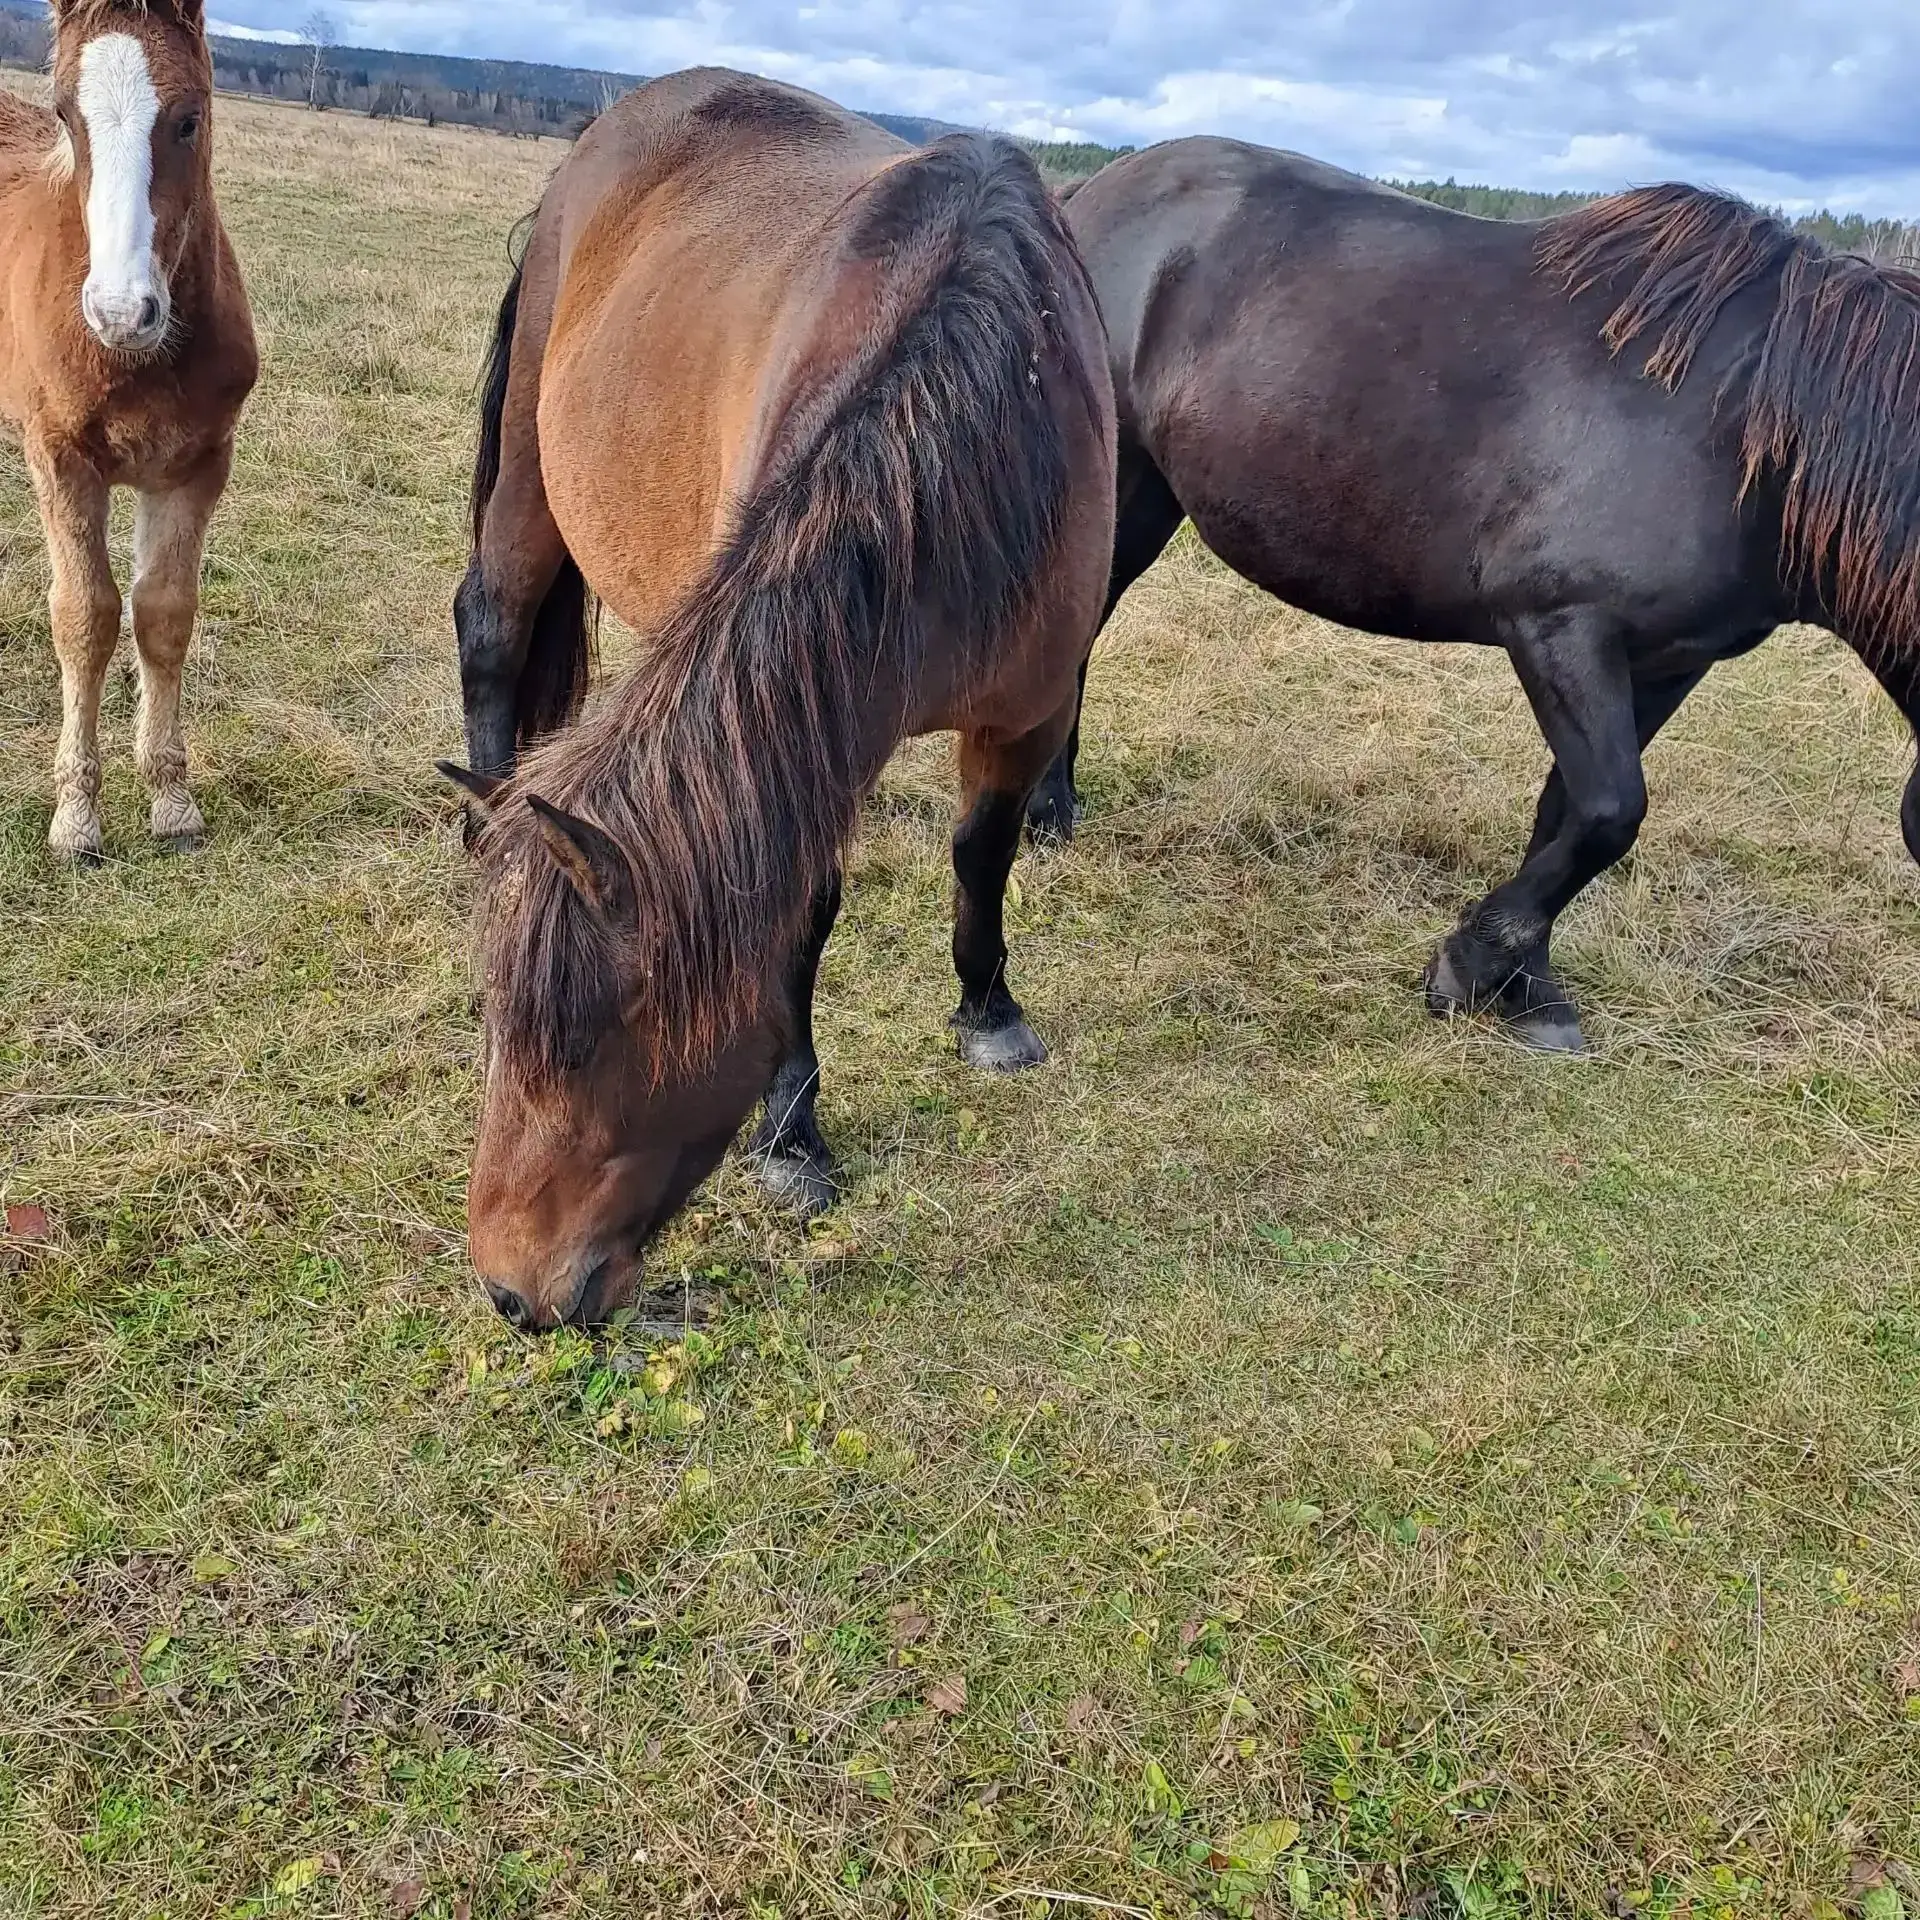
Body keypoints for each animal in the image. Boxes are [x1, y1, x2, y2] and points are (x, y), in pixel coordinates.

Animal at [0, 0, 256, 863]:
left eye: (190, 118)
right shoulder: (60, 458)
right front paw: (77, 816)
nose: (120, 312)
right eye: (64, 115)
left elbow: (163, 613)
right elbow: (85, 616)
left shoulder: (197, 464)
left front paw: (172, 800)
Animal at [442, 69, 1115, 1333]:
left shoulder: (1027, 713)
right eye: (501, 1031)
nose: (511, 1290)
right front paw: (795, 1131)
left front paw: (988, 1010)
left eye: (599, 1041)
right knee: (491, 633)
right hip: (530, 482)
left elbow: (983, 851)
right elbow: (804, 915)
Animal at [1028, 138, 1920, 1051]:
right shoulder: (1559, 628)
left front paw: (1527, 988)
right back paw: (1045, 814)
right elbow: (1609, 811)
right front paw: (1470, 965)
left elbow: (1565, 812)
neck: (1750, 431)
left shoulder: (1667, 663)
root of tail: (1091, 193)